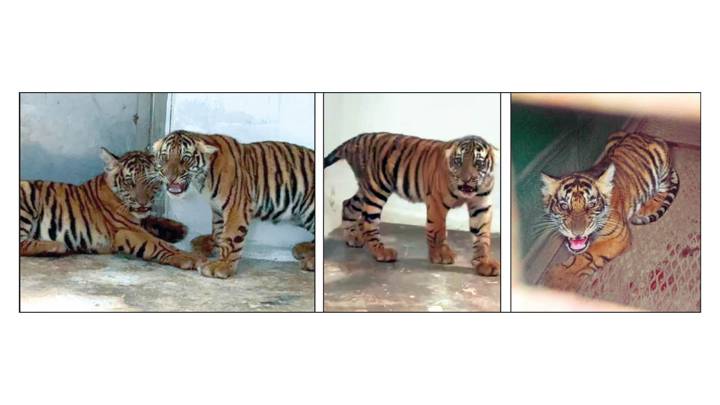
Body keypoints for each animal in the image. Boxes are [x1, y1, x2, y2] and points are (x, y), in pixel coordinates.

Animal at [20, 148, 203, 271]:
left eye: (151, 183)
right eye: (130, 183)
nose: (143, 203)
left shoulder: (137, 221)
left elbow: (151, 219)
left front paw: (179, 229)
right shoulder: (126, 231)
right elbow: (160, 244)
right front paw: (192, 258)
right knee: (21, 244)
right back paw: (57, 246)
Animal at [151, 130, 316, 279]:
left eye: (185, 158)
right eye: (165, 157)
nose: (170, 177)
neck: (203, 178)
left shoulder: (236, 207)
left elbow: (231, 236)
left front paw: (221, 266)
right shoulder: (217, 208)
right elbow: (218, 232)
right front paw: (211, 246)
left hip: (308, 209)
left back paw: (310, 261)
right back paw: (303, 248)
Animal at [324, 132, 499, 276]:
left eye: (478, 163)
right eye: (458, 162)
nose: (466, 180)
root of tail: (355, 139)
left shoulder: (481, 205)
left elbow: (482, 235)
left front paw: (484, 263)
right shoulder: (437, 201)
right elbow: (438, 230)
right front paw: (440, 255)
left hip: (364, 190)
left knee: (348, 204)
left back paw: (352, 238)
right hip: (376, 190)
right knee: (368, 221)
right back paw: (382, 252)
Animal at [540, 130, 680, 285]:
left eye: (592, 204)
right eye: (563, 206)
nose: (577, 233)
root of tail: (647, 135)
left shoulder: (617, 236)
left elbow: (587, 255)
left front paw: (557, 278)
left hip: (662, 165)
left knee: (664, 189)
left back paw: (646, 207)